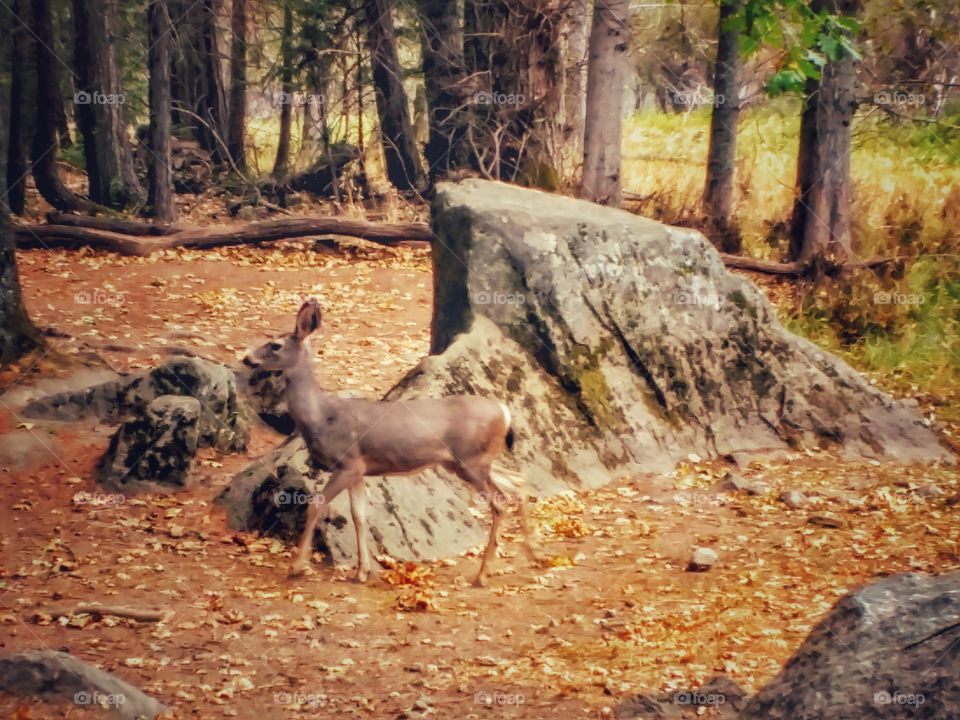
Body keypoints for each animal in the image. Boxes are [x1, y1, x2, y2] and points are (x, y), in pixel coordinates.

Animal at [242, 298, 540, 584]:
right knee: (517, 480)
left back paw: (483, 574)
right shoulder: (360, 471)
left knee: (500, 502)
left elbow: (316, 504)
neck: (321, 418)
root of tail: (504, 411)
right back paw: (531, 554)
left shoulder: (348, 462)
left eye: (275, 345)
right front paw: (362, 571)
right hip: (471, 461)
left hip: (470, 461)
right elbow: (359, 516)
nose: (246, 358)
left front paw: (297, 566)